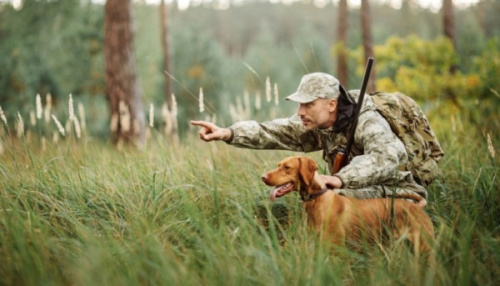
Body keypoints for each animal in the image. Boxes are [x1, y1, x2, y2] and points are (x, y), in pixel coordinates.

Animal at [262, 156, 434, 252]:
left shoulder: (336, 249)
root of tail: (417, 207)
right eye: (278, 165)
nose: (263, 177)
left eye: (287, 167)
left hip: (424, 247)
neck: (318, 200)